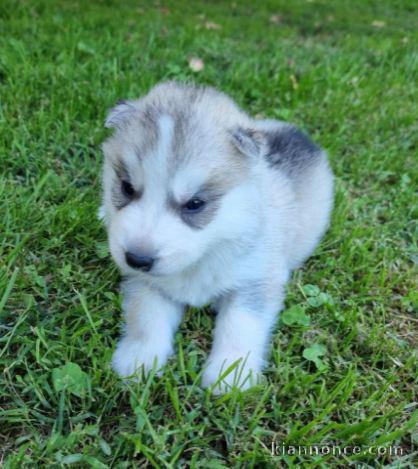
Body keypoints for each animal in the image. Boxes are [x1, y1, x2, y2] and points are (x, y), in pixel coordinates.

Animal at [100, 80, 334, 392]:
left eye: (195, 203)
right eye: (126, 187)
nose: (137, 259)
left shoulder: (256, 280)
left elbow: (241, 323)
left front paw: (230, 373)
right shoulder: (147, 284)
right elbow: (145, 317)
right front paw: (139, 358)